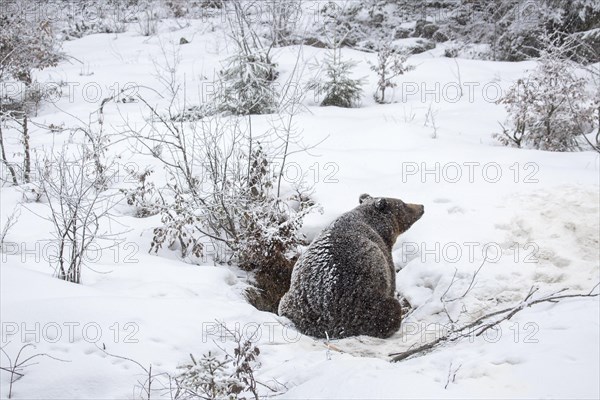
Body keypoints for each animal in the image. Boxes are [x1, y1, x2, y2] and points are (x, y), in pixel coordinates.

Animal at [278, 194, 424, 338]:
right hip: (362, 302)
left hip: (297, 305)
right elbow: (392, 281)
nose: (421, 206)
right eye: (403, 204)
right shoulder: (383, 254)